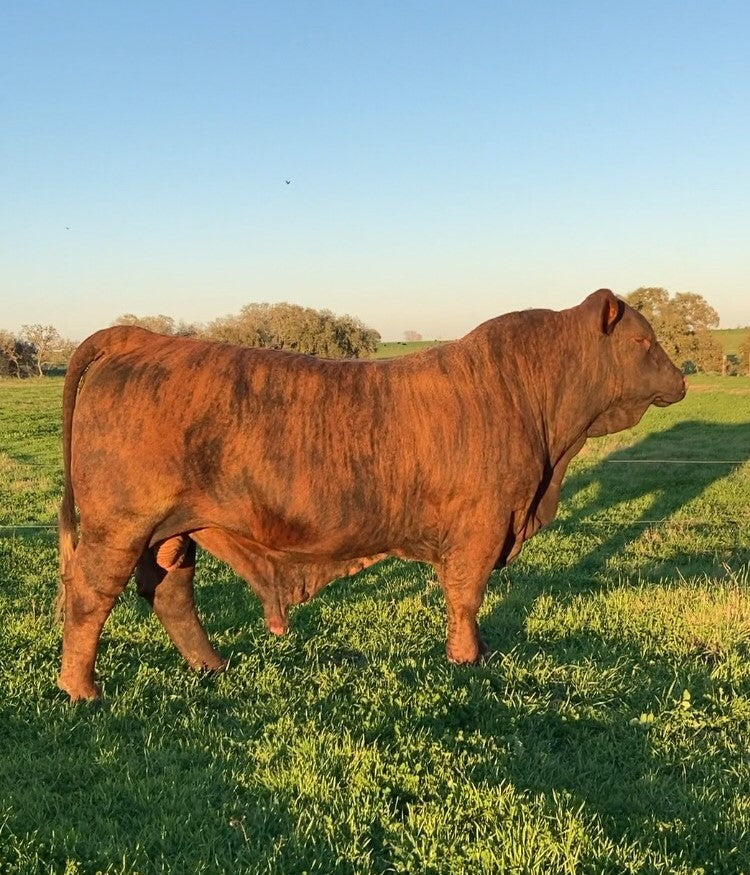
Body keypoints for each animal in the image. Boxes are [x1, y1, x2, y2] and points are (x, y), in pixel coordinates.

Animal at [56, 289, 686, 701]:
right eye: (642, 340)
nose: (681, 380)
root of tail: (138, 336)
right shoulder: (481, 526)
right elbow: (466, 596)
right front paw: (468, 660)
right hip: (121, 523)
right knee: (90, 593)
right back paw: (81, 689)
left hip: (172, 528)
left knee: (169, 590)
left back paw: (213, 667)